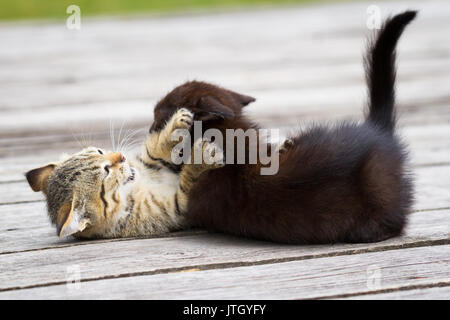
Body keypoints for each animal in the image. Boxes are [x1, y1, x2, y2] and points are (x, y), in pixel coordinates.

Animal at [25, 109, 222, 239]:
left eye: (99, 151)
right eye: (106, 171)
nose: (121, 156)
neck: (134, 188)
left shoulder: (146, 164)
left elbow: (152, 152)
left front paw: (176, 124)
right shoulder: (177, 207)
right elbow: (189, 182)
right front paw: (202, 158)